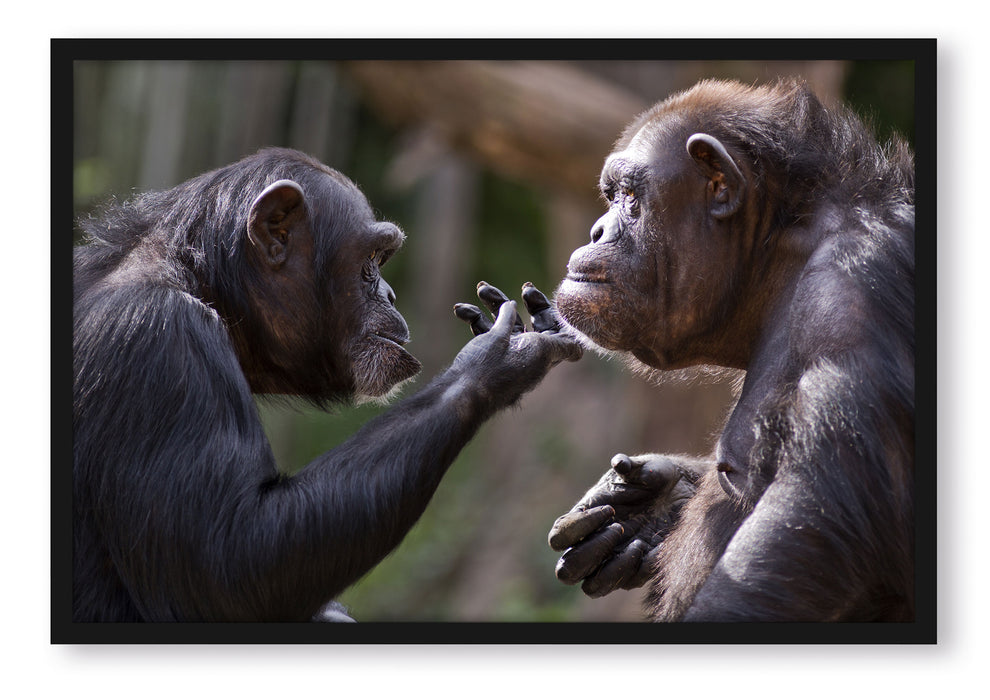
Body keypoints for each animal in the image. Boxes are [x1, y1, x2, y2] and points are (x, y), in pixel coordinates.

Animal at [75, 148, 580, 624]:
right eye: (372, 260)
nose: (390, 294)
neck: (201, 283)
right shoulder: (159, 338)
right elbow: (227, 563)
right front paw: (495, 359)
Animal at [548, 79, 920, 620]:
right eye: (611, 195)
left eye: (631, 198)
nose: (597, 231)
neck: (779, 254)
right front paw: (653, 505)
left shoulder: (851, 304)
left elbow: (813, 531)